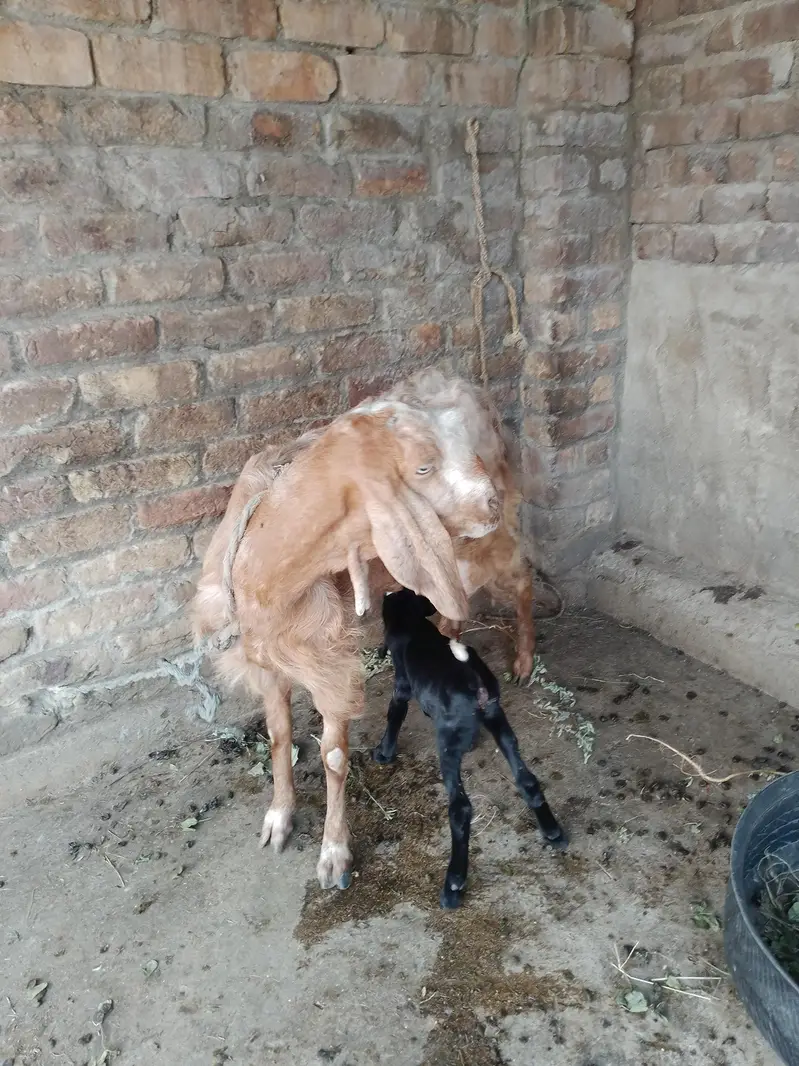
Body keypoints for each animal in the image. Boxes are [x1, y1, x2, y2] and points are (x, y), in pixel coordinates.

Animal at [192, 402, 500, 891]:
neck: (267, 571)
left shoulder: (331, 667)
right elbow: (279, 737)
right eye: (423, 466)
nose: (493, 503)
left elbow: (333, 756)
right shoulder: (266, 660)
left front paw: (334, 853)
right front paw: (279, 816)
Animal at [373, 587, 567, 909]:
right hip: (498, 720)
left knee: (461, 808)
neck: (414, 624)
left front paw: (383, 753)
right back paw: (553, 832)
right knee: (526, 779)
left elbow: (394, 714)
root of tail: (474, 680)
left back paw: (453, 885)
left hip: (448, 745)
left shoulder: (402, 684)